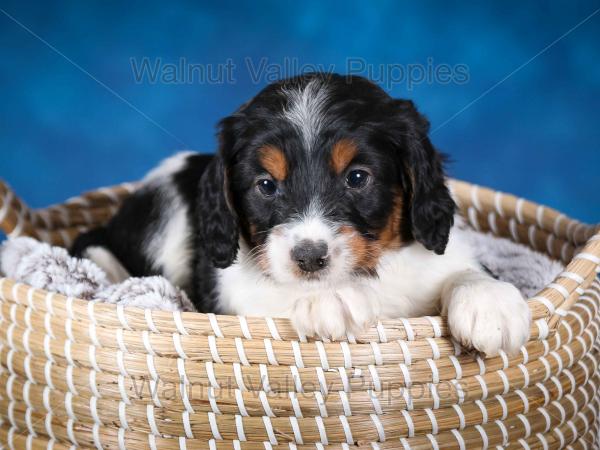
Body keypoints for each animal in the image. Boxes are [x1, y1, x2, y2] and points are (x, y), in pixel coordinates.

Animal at [74, 73, 528, 356]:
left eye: (357, 178)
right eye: (266, 185)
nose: (310, 258)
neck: (373, 273)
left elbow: (466, 269)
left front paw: (490, 303)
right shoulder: (233, 288)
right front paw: (329, 297)